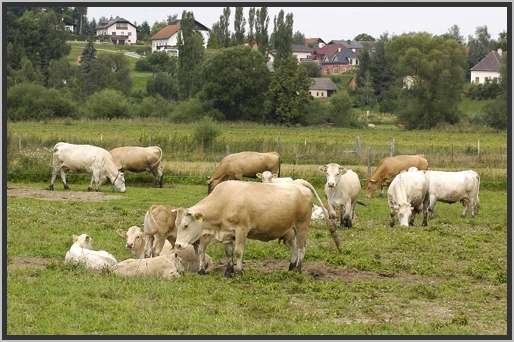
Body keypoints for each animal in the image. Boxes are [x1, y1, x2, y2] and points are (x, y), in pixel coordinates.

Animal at [174, 179, 338, 278]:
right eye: (176, 225)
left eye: (186, 225)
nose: (178, 245)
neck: (224, 201)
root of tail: (299, 183)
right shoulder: (228, 233)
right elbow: (229, 252)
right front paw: (228, 271)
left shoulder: (241, 230)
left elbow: (238, 252)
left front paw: (238, 272)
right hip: (290, 230)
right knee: (294, 246)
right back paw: (291, 266)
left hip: (302, 225)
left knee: (302, 247)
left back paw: (298, 269)